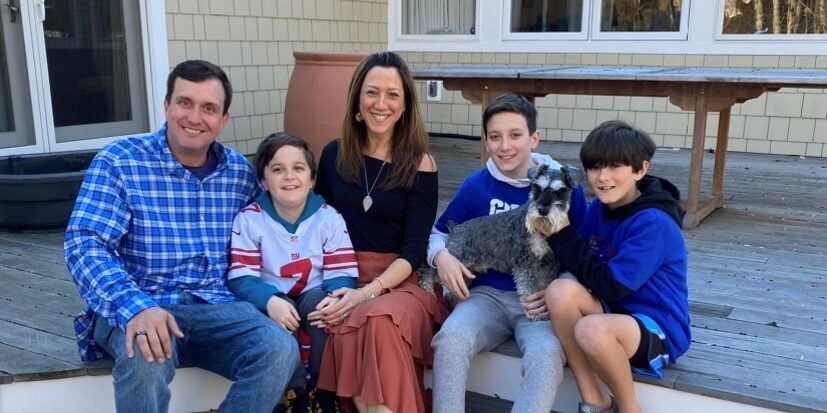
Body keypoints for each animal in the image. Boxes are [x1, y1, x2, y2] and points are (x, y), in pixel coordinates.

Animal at [420, 163, 584, 320]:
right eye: (537, 188)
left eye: (560, 191)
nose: (542, 211)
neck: (540, 232)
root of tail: (455, 228)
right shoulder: (525, 264)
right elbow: (529, 289)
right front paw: (536, 314)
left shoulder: (549, 264)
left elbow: (544, 286)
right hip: (454, 262)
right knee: (426, 274)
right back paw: (428, 291)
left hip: (465, 272)